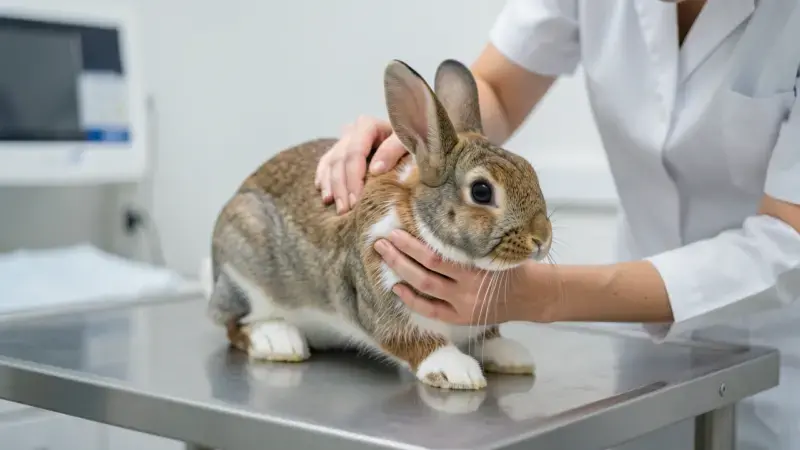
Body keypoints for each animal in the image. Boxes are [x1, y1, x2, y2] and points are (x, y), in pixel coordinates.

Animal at [202, 58, 553, 390]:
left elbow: (486, 339)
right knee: (233, 323)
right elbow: (415, 341)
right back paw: (278, 341)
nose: (541, 239)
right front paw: (458, 372)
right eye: (481, 191)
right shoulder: (384, 299)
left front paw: (512, 356)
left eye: (530, 172)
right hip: (243, 268)